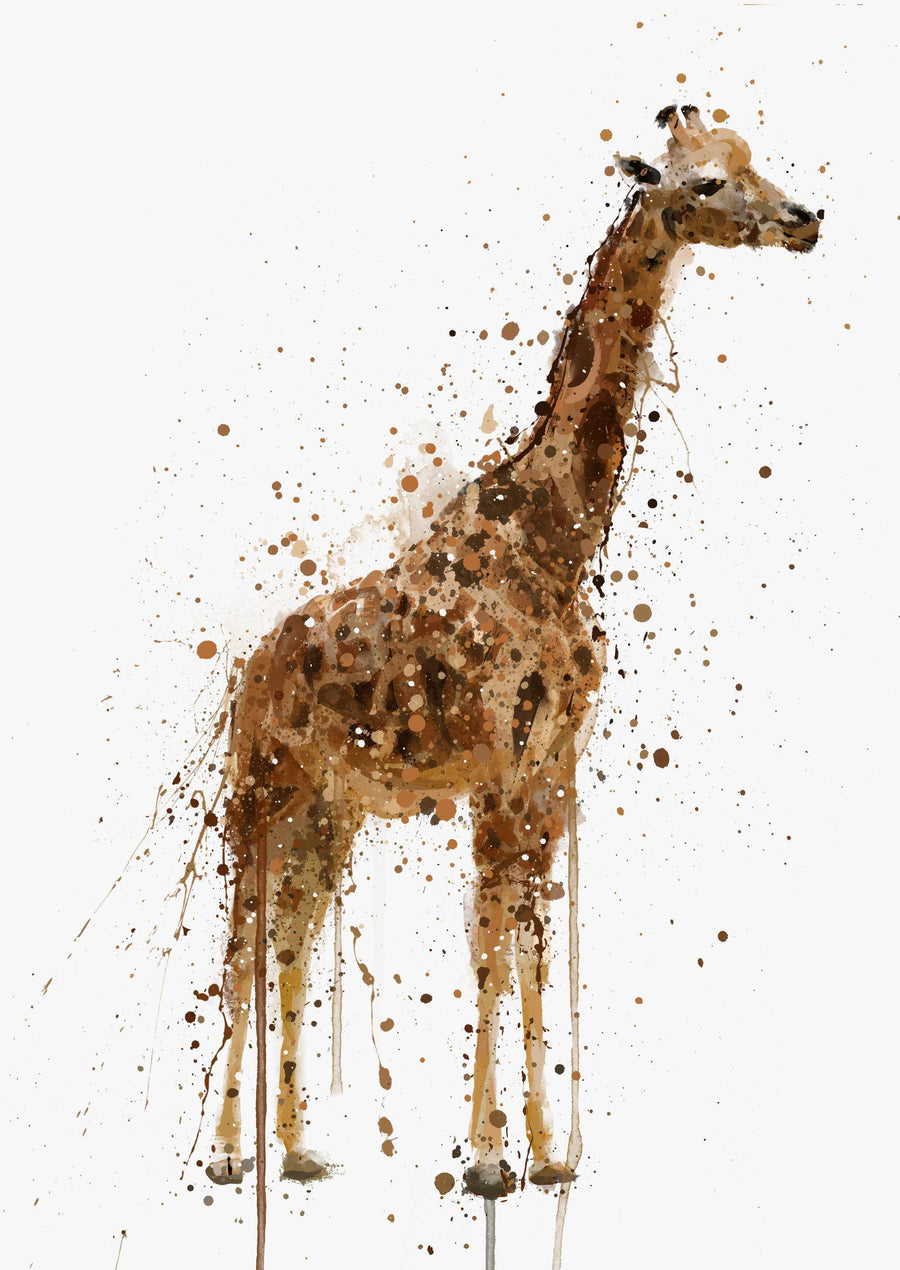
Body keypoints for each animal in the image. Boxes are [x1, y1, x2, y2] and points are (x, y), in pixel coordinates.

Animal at [204, 106, 819, 1212]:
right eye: (704, 183)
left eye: (754, 158)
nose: (806, 219)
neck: (557, 538)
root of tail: (250, 668)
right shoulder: (499, 766)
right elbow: (490, 938)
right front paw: (490, 1160)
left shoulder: (550, 769)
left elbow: (533, 931)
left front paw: (549, 1152)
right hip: (259, 791)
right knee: (240, 942)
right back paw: (230, 1155)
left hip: (329, 808)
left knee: (293, 937)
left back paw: (301, 1150)